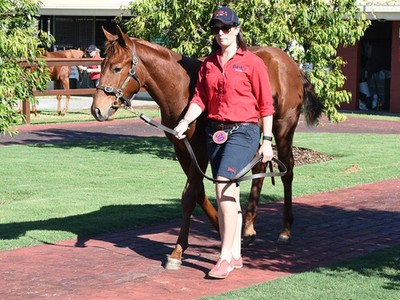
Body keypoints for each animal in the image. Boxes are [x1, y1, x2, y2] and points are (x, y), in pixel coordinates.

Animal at [90, 26, 322, 270]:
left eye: (116, 67)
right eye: (102, 64)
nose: (97, 109)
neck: (182, 87)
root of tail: (290, 63)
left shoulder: (200, 149)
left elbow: (190, 195)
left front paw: (177, 251)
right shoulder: (182, 148)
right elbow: (198, 192)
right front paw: (222, 229)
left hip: (283, 127)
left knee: (287, 171)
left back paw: (285, 230)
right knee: (259, 168)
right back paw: (248, 228)